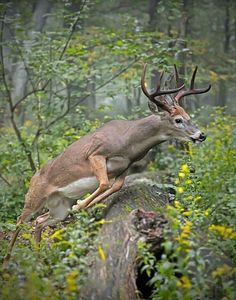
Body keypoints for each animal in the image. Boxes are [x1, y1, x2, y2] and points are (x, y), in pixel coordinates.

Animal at [3, 63, 210, 264]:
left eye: (188, 115)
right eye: (178, 119)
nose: (201, 135)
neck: (129, 141)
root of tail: (33, 177)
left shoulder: (126, 166)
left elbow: (115, 186)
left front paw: (84, 205)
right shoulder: (96, 154)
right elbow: (103, 183)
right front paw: (81, 205)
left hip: (59, 207)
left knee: (39, 221)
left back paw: (38, 258)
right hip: (35, 197)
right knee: (20, 219)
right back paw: (7, 259)